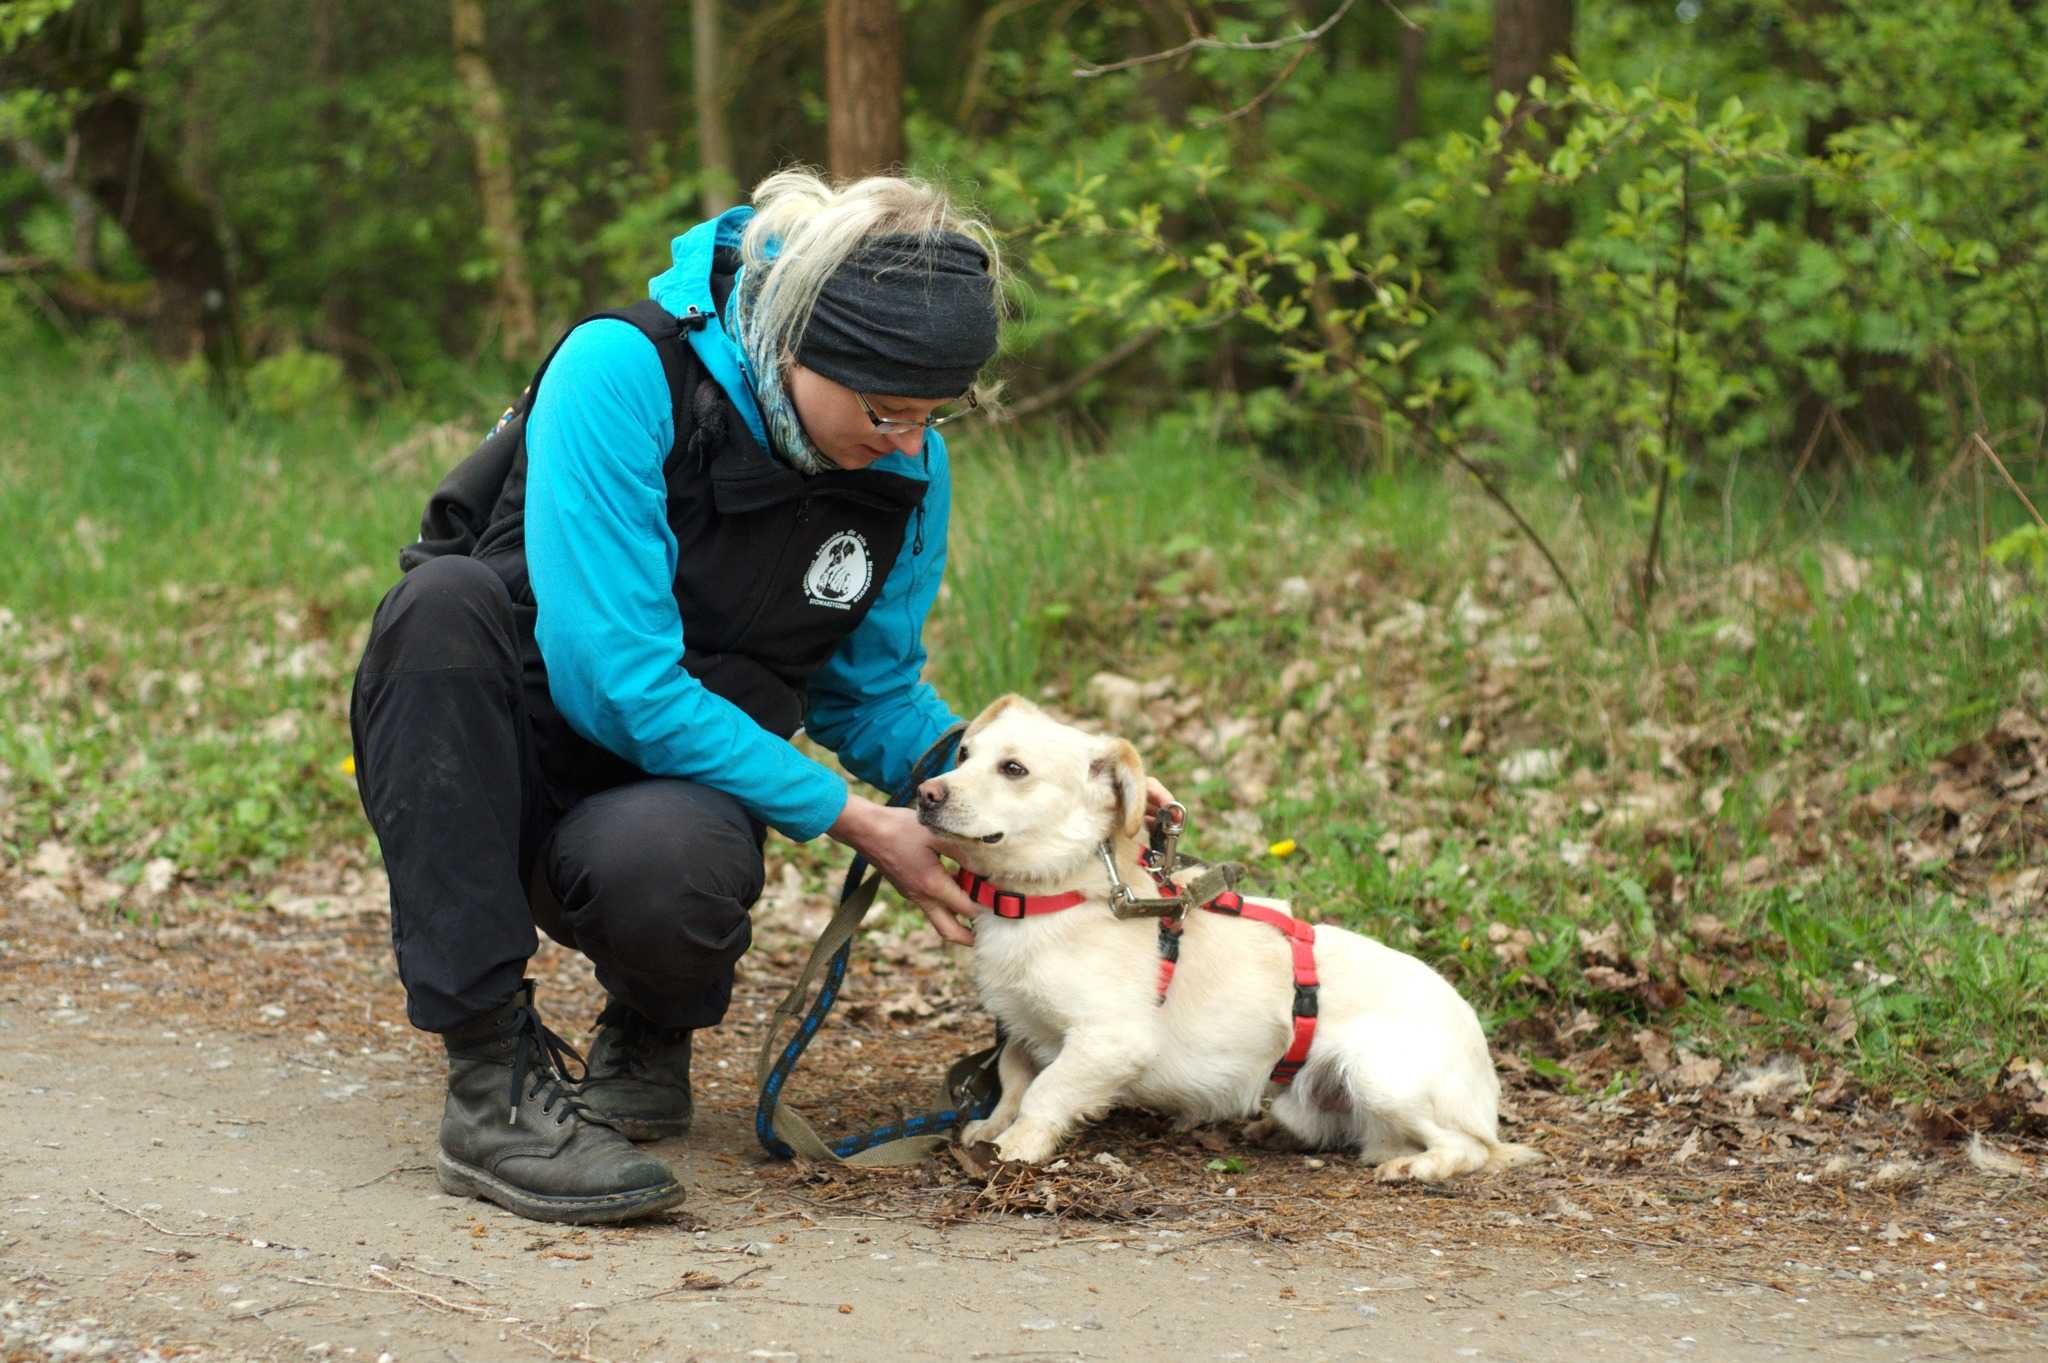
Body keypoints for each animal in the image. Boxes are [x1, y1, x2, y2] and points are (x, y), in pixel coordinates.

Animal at [925, 695, 1540, 1170]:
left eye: (1014, 769)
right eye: (963, 755)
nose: (927, 792)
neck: (1051, 893)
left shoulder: (1110, 1041)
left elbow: (1045, 1092)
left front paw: (1017, 1147)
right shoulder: (1021, 1029)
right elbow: (1013, 1081)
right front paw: (990, 1129)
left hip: (1382, 1077)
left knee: (1474, 1150)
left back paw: (1421, 1167)